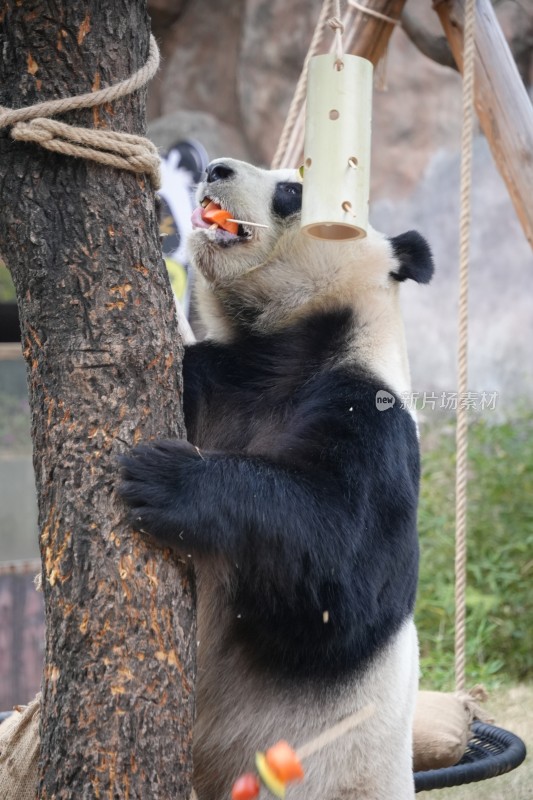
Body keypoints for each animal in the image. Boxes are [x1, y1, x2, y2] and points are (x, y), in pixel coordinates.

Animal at [119, 158, 432, 800]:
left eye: (292, 190)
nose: (216, 167)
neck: (283, 347)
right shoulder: (214, 376)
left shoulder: (373, 420)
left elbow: (345, 580)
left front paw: (167, 479)